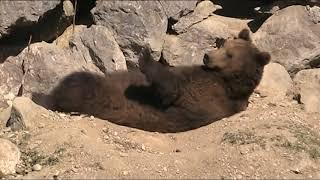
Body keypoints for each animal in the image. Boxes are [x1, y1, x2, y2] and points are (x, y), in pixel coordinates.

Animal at [33, 28, 270, 133]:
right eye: (223, 44)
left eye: (229, 54)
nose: (207, 56)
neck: (225, 80)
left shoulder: (207, 97)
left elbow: (170, 91)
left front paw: (145, 56)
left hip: (96, 95)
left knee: (77, 83)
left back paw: (40, 96)